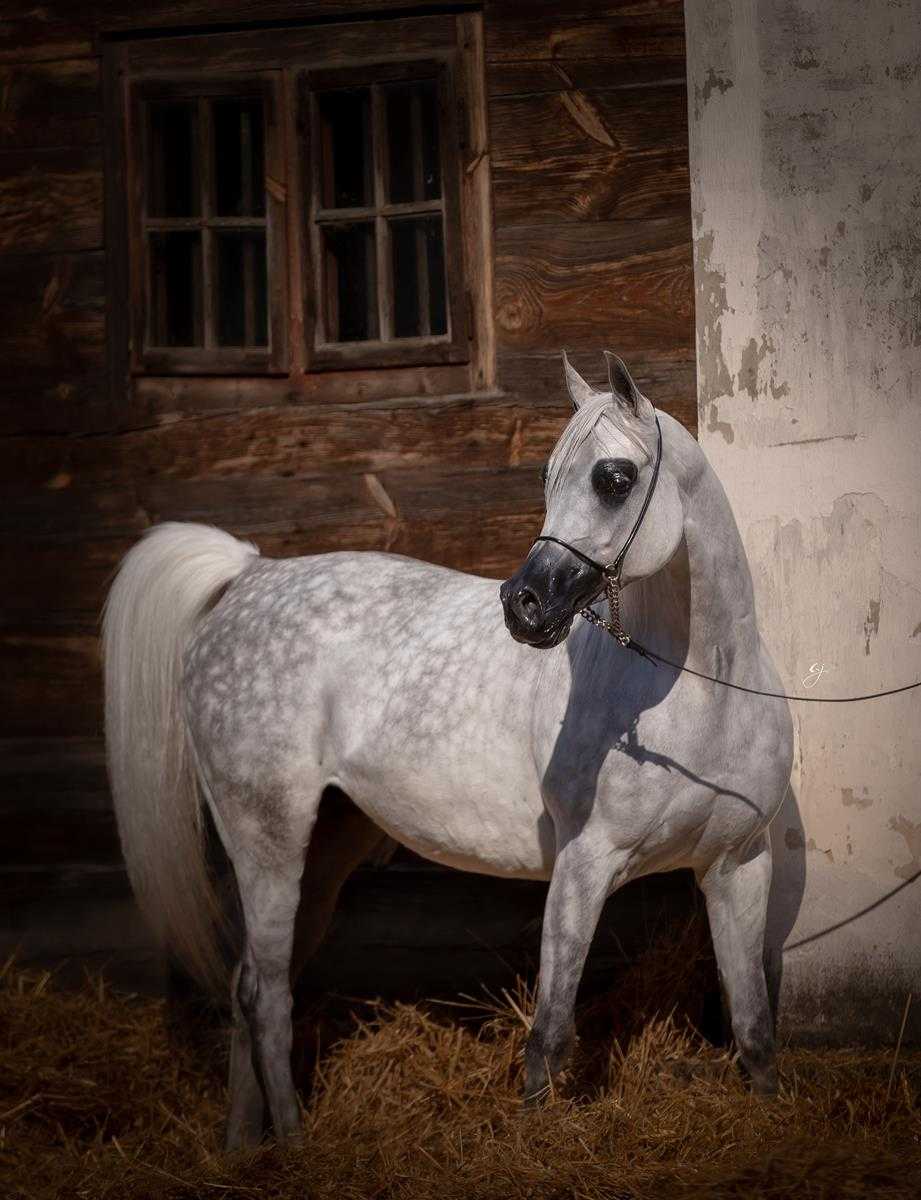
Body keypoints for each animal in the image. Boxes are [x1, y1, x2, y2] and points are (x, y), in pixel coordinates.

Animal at [103, 351, 793, 1149]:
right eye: (547, 476)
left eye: (613, 478)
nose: (523, 606)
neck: (699, 695)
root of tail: (248, 575)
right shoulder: (585, 866)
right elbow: (550, 1033)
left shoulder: (737, 865)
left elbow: (754, 1028)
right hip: (266, 837)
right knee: (265, 995)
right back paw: (296, 1148)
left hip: (325, 848)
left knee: (254, 987)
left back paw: (244, 1150)